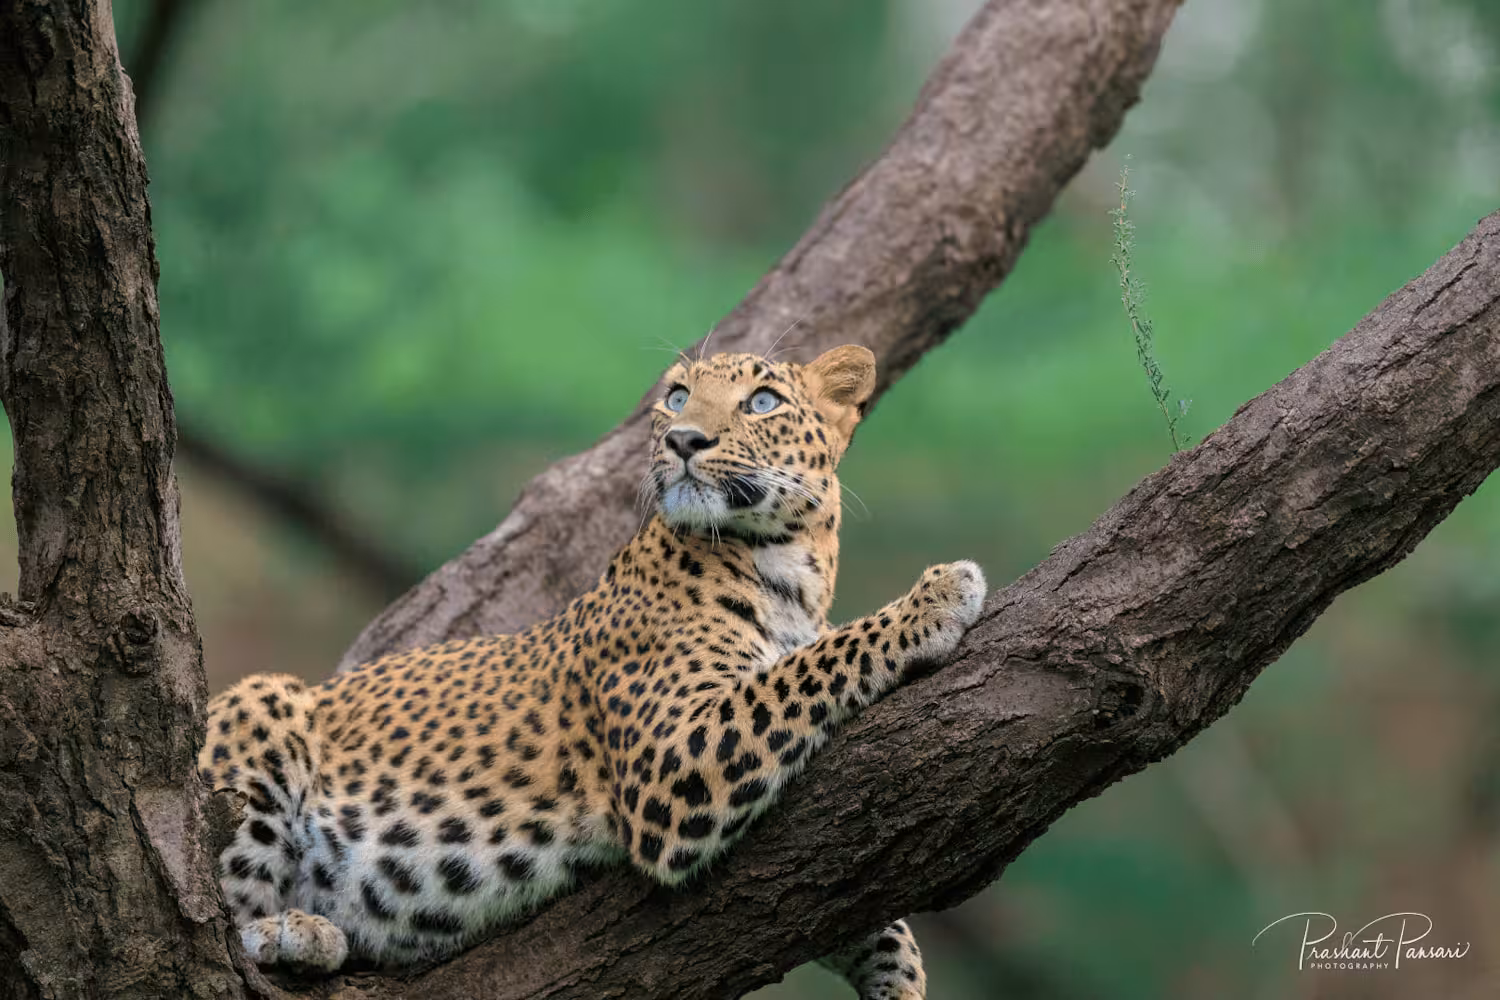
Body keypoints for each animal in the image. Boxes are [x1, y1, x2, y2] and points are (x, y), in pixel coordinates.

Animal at [199, 345, 988, 999]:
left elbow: (880, 923)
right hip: (261, 702)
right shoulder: (673, 759)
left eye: (762, 401)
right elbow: (806, 665)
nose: (684, 439)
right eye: (677, 396)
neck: (792, 571)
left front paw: (901, 984)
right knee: (226, 901)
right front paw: (935, 597)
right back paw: (293, 931)